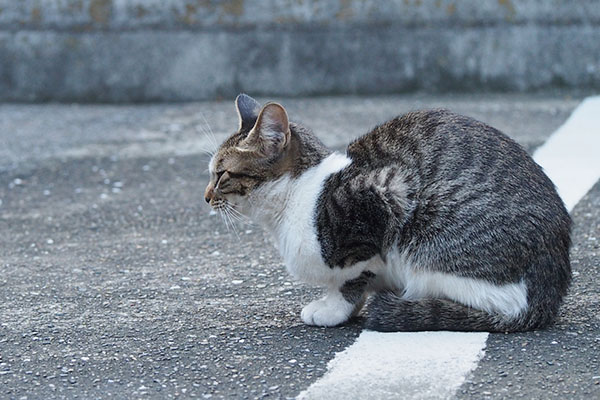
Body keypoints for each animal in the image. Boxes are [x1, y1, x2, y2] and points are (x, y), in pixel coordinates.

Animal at [205, 94, 572, 332]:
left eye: (221, 175)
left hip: (429, 239)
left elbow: (351, 278)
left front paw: (333, 308)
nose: (206, 197)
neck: (302, 194)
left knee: (500, 304)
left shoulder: (384, 194)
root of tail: (548, 292)